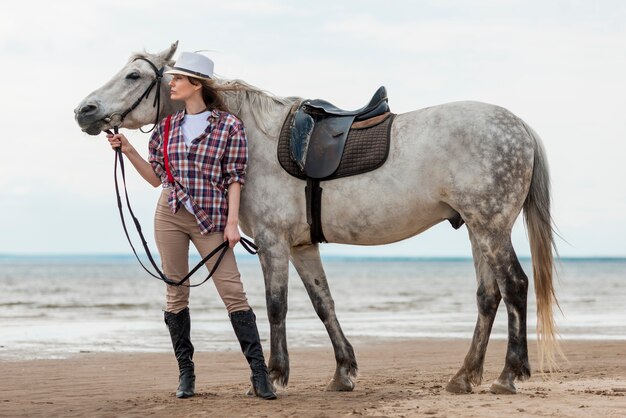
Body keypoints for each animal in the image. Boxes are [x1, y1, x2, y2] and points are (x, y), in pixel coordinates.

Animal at [75, 41, 560, 396]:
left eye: (134, 76)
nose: (84, 111)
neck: (256, 138)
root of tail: (518, 126)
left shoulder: (272, 242)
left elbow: (275, 305)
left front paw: (273, 377)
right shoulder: (302, 245)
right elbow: (323, 303)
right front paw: (343, 372)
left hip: (491, 227)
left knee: (515, 286)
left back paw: (508, 375)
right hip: (479, 230)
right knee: (488, 296)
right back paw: (464, 376)